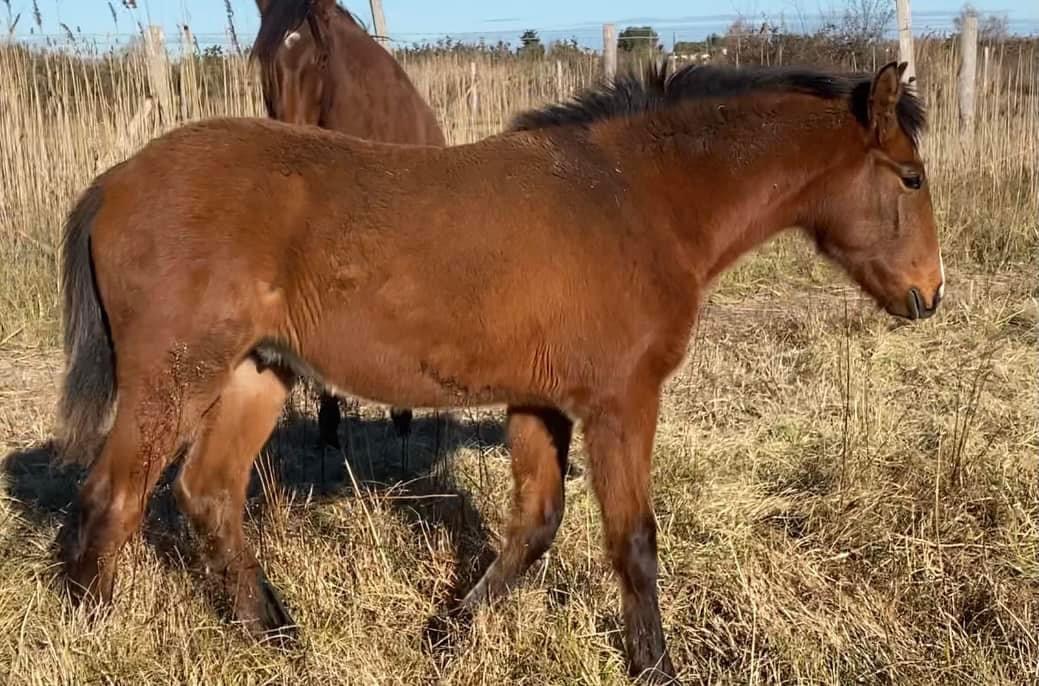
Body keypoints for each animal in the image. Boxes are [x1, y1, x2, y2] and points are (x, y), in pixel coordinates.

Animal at [58, 62, 951, 681]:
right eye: (910, 177)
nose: (930, 294)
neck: (635, 201)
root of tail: (116, 181)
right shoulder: (620, 403)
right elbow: (632, 539)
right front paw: (654, 666)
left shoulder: (537, 405)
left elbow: (534, 527)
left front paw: (447, 635)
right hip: (174, 376)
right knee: (115, 496)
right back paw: (94, 638)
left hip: (256, 373)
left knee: (207, 494)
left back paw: (276, 634)